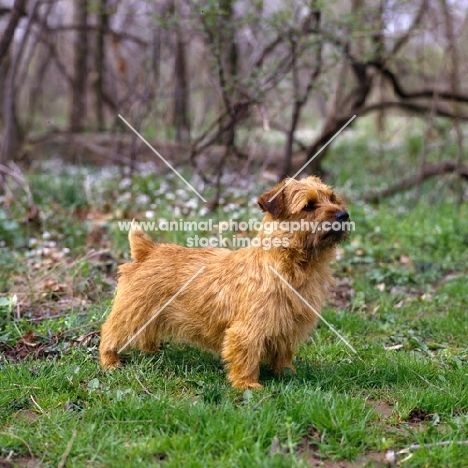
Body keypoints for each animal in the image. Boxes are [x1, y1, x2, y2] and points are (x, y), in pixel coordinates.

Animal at [98, 175, 350, 388]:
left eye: (333, 198)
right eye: (308, 205)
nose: (344, 215)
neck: (295, 267)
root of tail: (148, 251)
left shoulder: (288, 326)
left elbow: (284, 353)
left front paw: (287, 374)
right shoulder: (248, 329)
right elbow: (247, 356)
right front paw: (247, 385)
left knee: (146, 334)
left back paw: (152, 352)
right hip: (133, 310)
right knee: (110, 332)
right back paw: (110, 361)